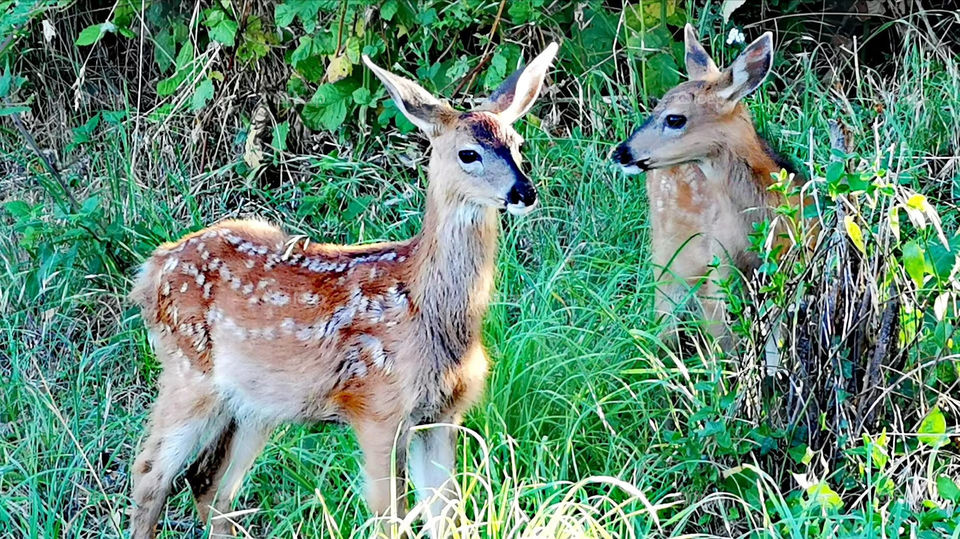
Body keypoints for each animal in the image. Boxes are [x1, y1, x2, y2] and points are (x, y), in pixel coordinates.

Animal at [128, 43, 558, 538]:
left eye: (517, 145)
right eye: (469, 154)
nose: (524, 191)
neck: (427, 311)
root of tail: (151, 270)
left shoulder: (440, 415)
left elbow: (446, 515)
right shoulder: (376, 407)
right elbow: (389, 519)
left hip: (256, 406)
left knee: (210, 486)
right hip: (188, 372)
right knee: (151, 474)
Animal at [611, 24, 799, 351]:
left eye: (675, 118)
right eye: (654, 108)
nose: (620, 152)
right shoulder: (718, 266)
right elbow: (723, 345)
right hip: (666, 251)